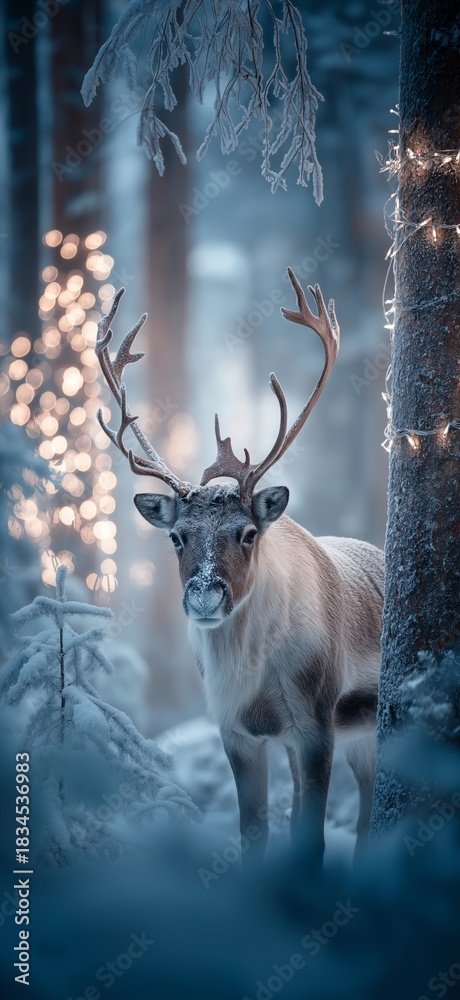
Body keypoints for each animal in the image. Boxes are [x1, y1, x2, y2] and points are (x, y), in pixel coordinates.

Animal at [95, 268, 384, 865]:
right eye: (176, 536)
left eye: (248, 533)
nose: (206, 595)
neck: (253, 677)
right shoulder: (237, 733)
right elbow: (257, 833)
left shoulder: (315, 724)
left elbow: (311, 840)